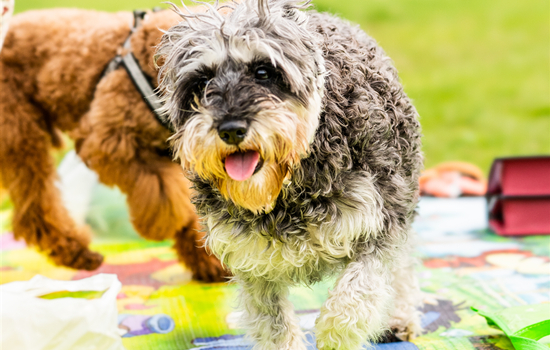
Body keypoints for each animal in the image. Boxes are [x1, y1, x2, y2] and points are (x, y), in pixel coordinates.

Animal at [0, 8, 229, 282]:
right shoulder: (107, 142)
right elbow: (165, 196)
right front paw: (164, 225)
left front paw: (207, 260)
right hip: (20, 133)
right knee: (35, 208)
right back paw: (77, 252)